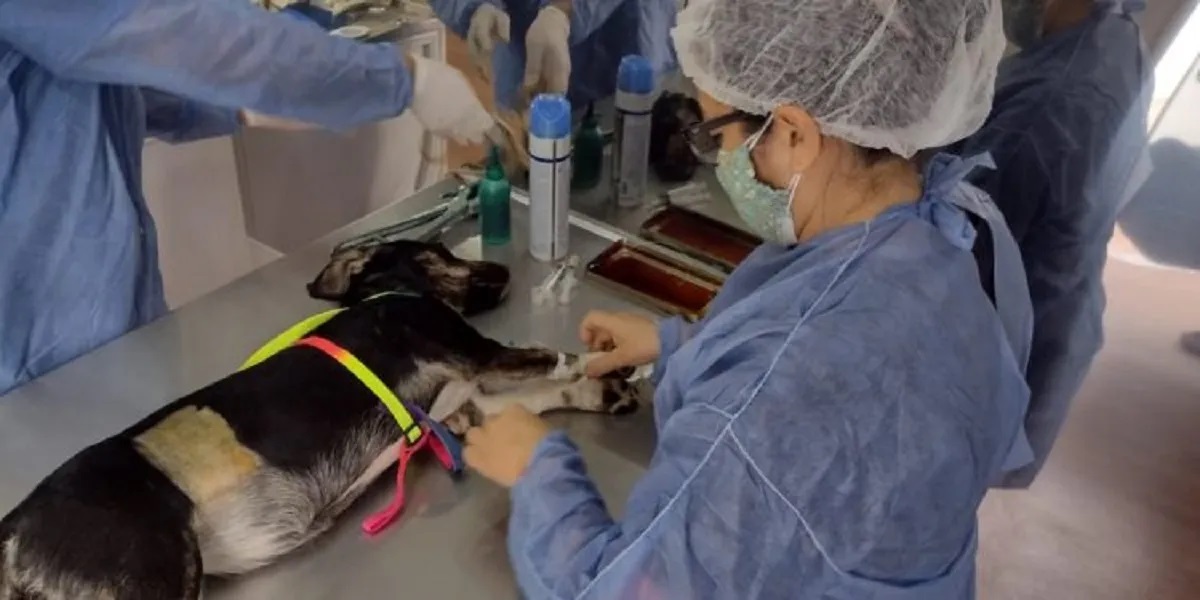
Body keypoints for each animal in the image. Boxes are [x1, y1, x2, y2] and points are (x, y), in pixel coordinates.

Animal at [0, 240, 643, 600]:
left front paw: (601, 389)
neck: (381, 297)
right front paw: (613, 360)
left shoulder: (465, 406)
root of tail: (13, 530)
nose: (505, 272)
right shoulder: (474, 355)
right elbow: (550, 358)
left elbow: (541, 395)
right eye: (438, 254)